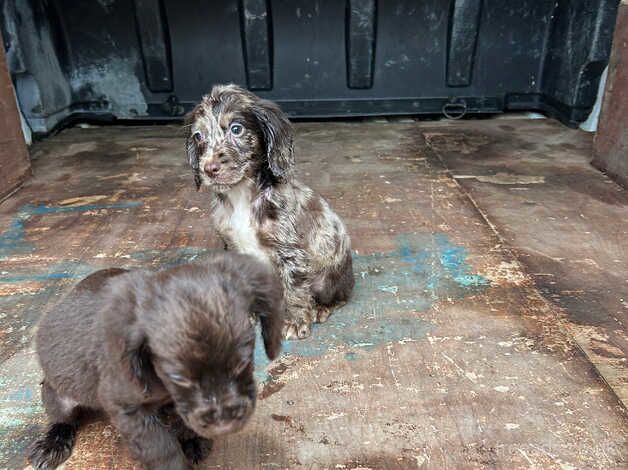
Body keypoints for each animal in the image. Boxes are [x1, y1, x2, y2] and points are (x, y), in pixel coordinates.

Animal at [28, 253, 282, 470]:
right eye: (178, 376)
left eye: (242, 363)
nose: (225, 422)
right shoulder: (127, 409)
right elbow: (161, 449)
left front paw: (193, 440)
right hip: (56, 395)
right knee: (62, 419)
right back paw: (52, 443)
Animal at [185, 84, 354, 340]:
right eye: (198, 136)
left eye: (236, 129)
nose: (209, 169)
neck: (243, 197)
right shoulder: (234, 249)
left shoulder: (290, 253)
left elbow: (295, 291)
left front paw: (295, 321)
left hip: (329, 279)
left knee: (341, 296)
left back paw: (321, 308)